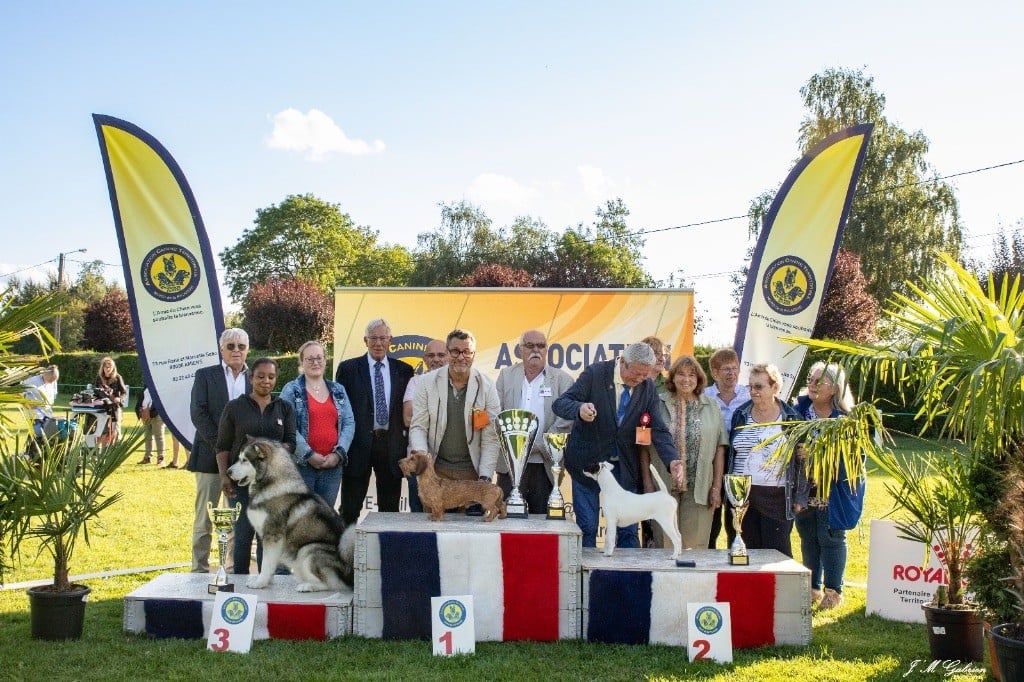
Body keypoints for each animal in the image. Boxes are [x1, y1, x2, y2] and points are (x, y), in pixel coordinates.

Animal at [228, 436, 356, 589]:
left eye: (244, 460)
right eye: (239, 458)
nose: (228, 472)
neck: (272, 483)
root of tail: (350, 573)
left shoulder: (272, 535)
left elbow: (265, 563)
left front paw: (260, 582)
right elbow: (270, 564)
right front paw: (267, 581)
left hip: (308, 550)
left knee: (331, 584)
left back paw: (307, 586)